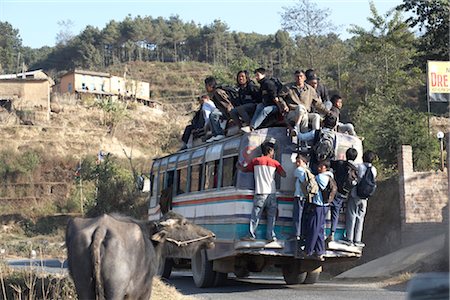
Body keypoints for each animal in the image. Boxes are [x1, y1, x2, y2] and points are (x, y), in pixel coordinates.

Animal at [66, 212, 215, 298]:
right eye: (184, 223)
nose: (212, 236)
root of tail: (101, 229)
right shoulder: (144, 289)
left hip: (83, 285)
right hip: (117, 288)